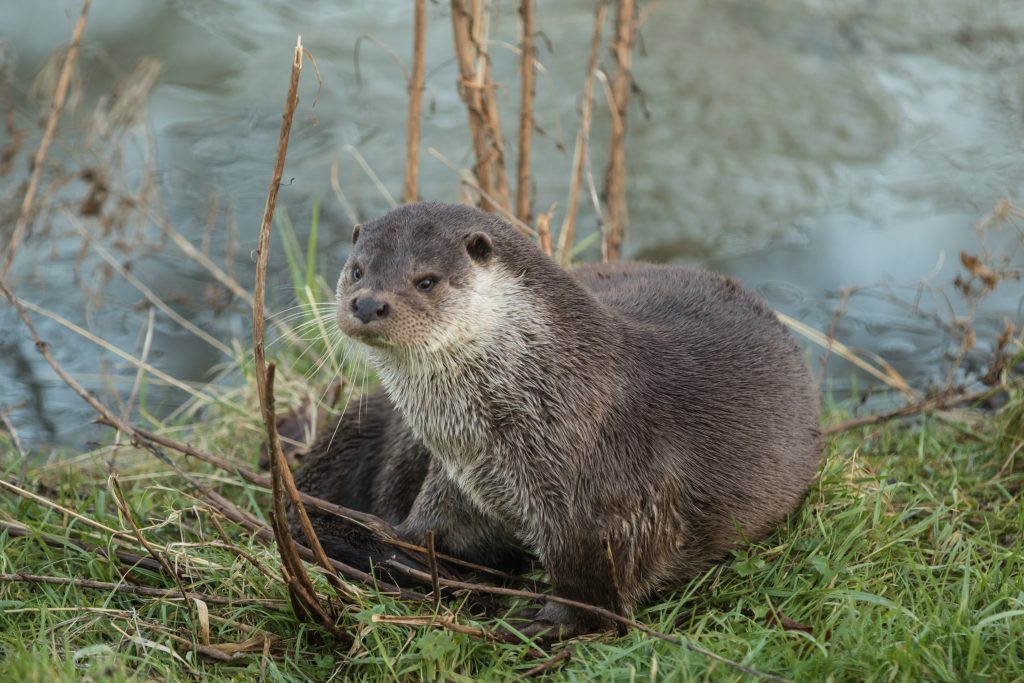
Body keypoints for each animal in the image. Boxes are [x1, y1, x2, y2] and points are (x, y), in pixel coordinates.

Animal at [290, 201, 823, 634]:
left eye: (426, 280)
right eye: (356, 270)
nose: (366, 302)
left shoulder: (608, 512)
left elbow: (592, 594)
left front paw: (544, 623)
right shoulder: (460, 482)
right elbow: (432, 529)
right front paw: (402, 548)